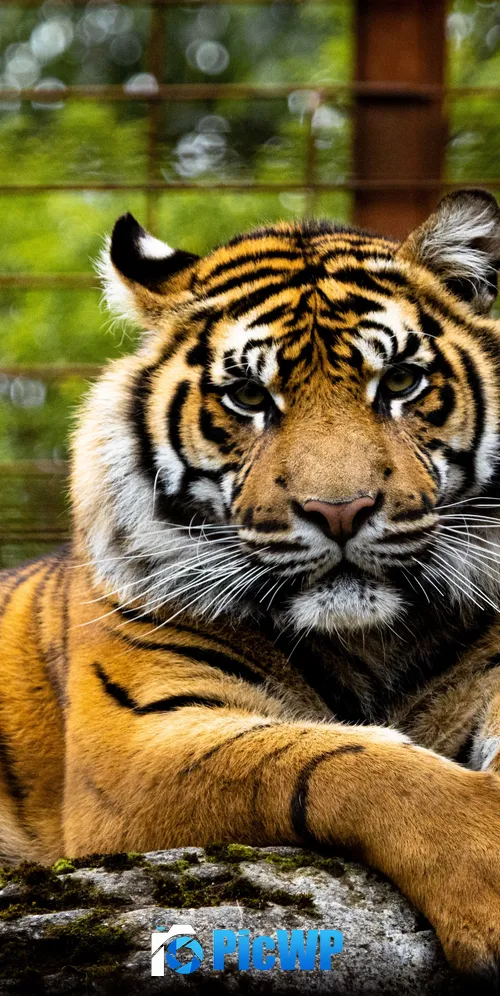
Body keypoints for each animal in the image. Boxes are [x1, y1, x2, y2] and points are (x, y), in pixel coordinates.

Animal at [3, 189, 500, 980]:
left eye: (399, 382)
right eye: (247, 396)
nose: (340, 509)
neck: (369, 640)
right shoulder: (137, 741)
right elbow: (336, 759)